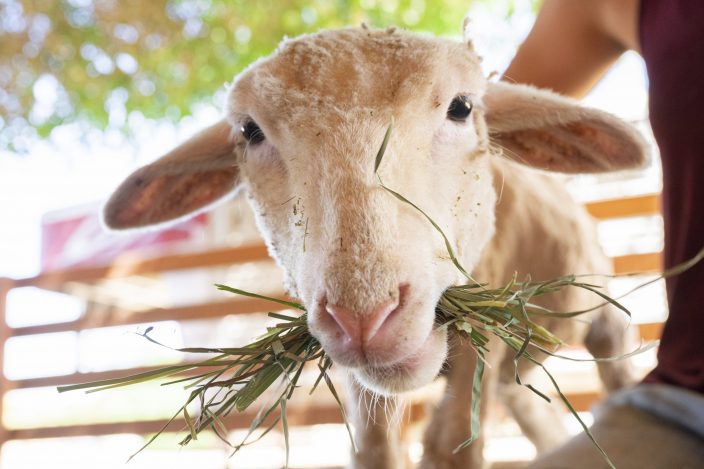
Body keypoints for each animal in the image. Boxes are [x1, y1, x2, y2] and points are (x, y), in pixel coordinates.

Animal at [102, 26, 648, 468]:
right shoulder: (367, 388)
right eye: (250, 131)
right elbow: (374, 452)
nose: (364, 317)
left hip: (603, 318)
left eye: (462, 107)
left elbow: (453, 447)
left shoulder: (482, 344)